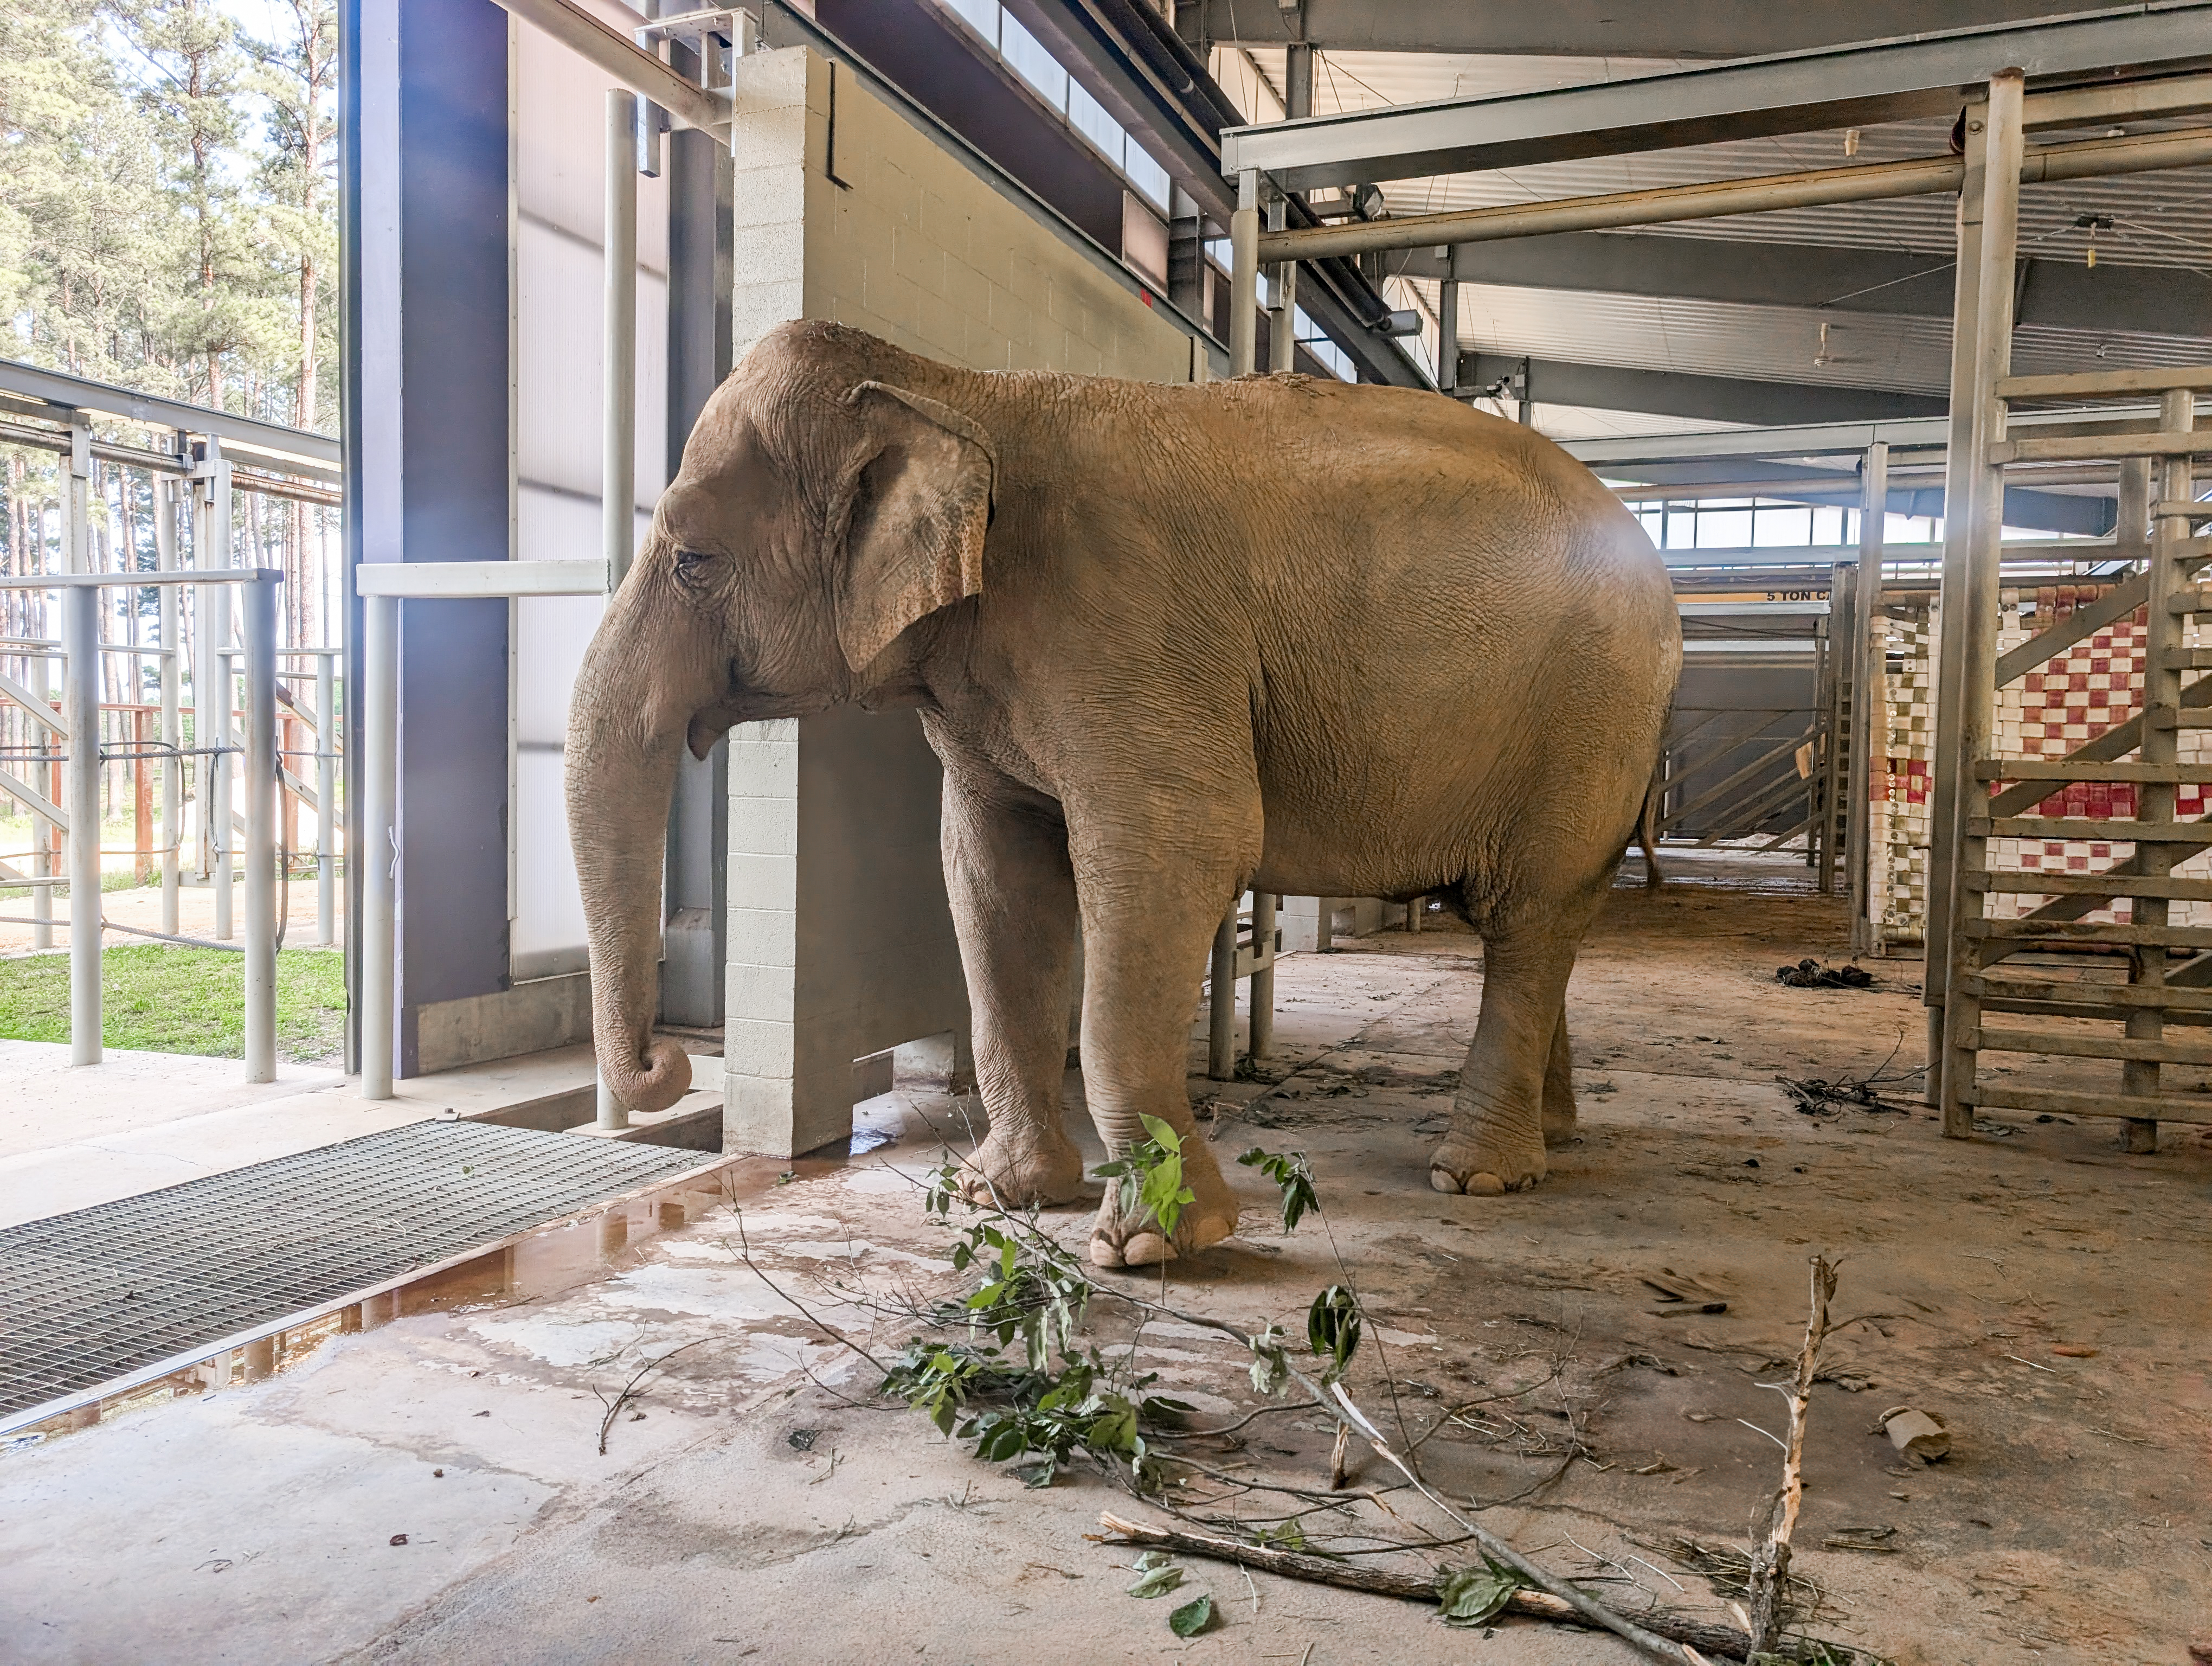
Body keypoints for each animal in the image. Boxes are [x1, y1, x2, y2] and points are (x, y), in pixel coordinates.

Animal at [566, 320, 1681, 1269]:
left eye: (693, 562)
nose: (669, 1066)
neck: (955, 387)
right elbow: (992, 876)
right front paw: (998, 1197)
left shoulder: (1127, 630)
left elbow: (1179, 850)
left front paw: (1151, 1246)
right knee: (1533, 931)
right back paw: (1551, 1136)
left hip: (1591, 722)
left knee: (1528, 919)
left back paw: (1480, 1176)